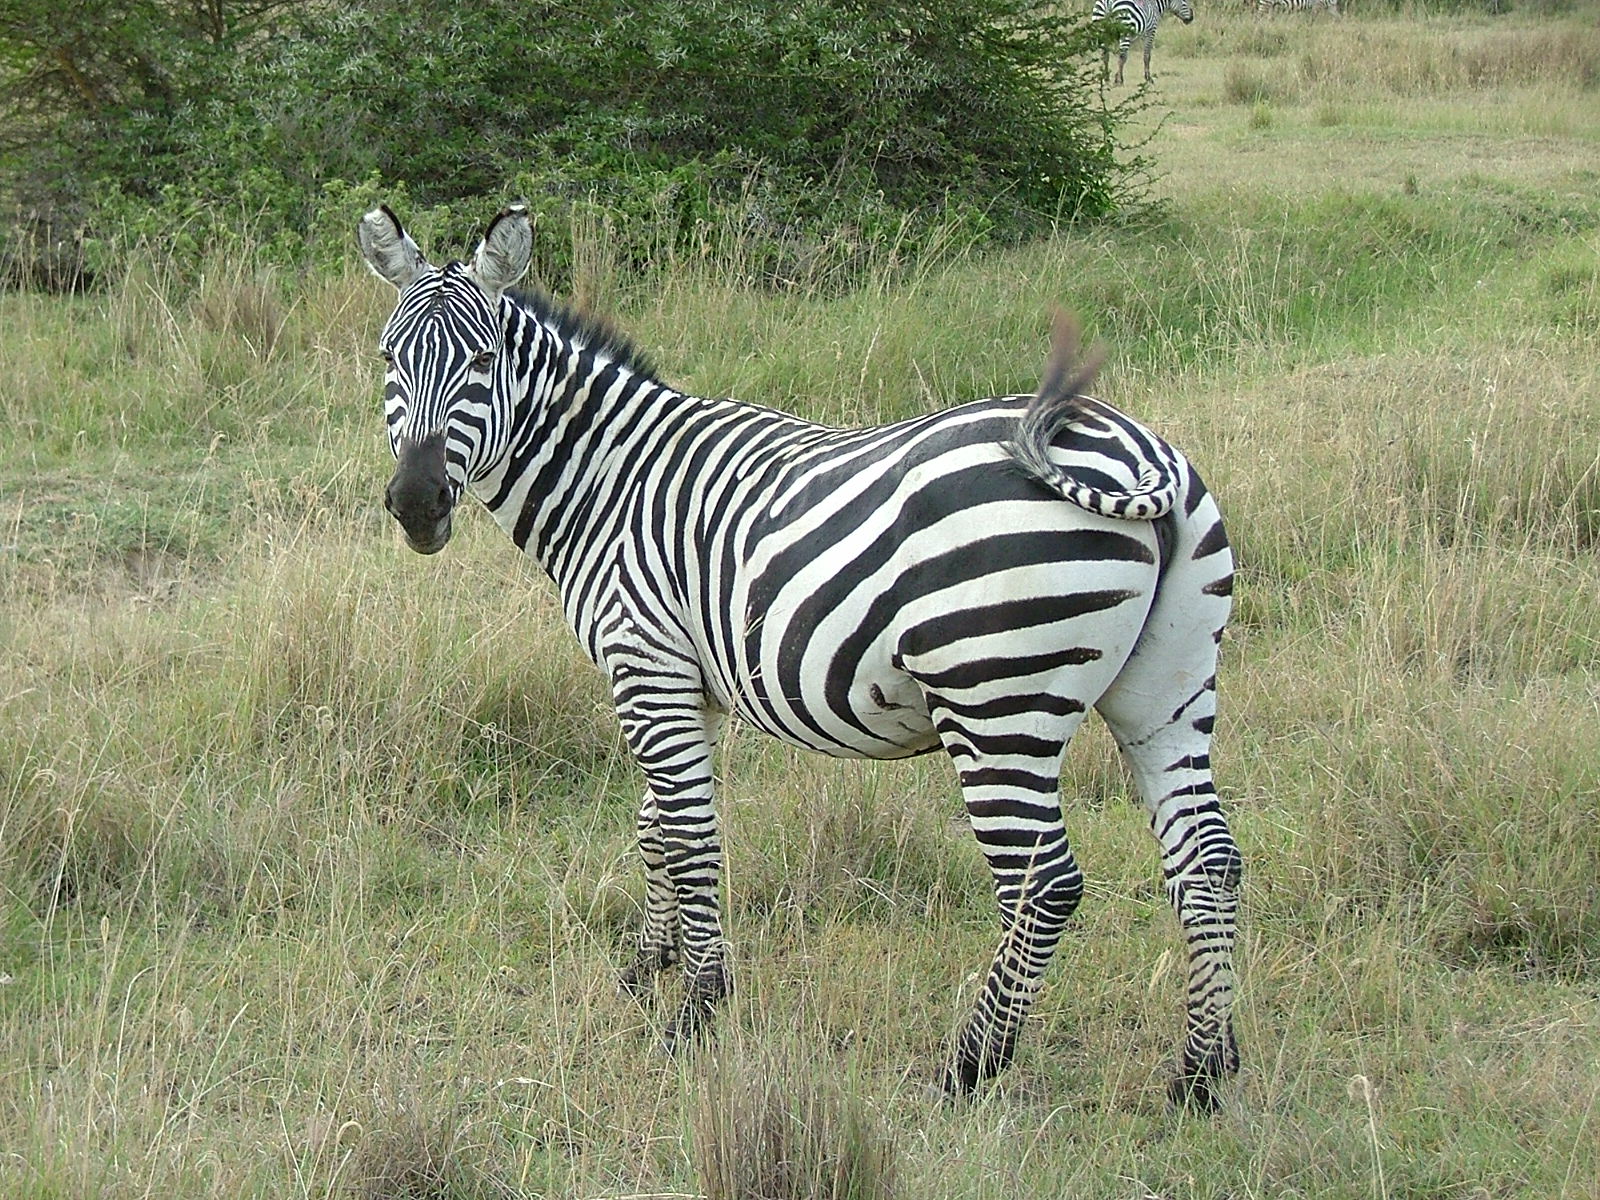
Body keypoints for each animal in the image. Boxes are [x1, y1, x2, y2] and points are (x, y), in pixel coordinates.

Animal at [357, 203, 1243, 1108]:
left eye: (481, 361)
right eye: (390, 359)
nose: (416, 503)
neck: (610, 484)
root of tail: (1135, 451)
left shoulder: (648, 667)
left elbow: (689, 835)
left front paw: (695, 1012)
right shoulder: (692, 684)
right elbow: (653, 827)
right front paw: (646, 969)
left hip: (997, 701)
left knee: (1045, 883)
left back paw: (970, 1066)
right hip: (1168, 688)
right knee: (1206, 860)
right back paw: (1203, 1071)